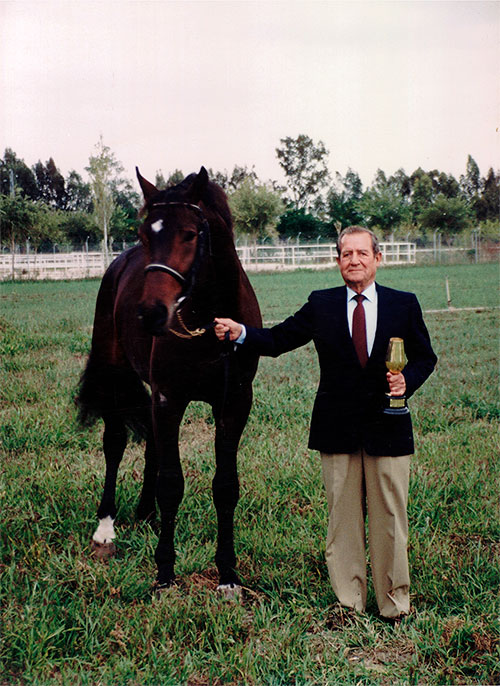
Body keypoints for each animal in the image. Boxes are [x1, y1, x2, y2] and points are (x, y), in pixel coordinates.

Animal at [78, 169, 262, 592]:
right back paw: (106, 528)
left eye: (191, 234)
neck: (209, 322)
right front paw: (164, 573)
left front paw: (227, 574)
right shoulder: (170, 399)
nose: (150, 313)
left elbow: (225, 486)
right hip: (114, 375)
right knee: (115, 442)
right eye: (145, 234)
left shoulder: (233, 403)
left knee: (150, 448)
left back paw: (145, 512)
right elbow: (171, 483)